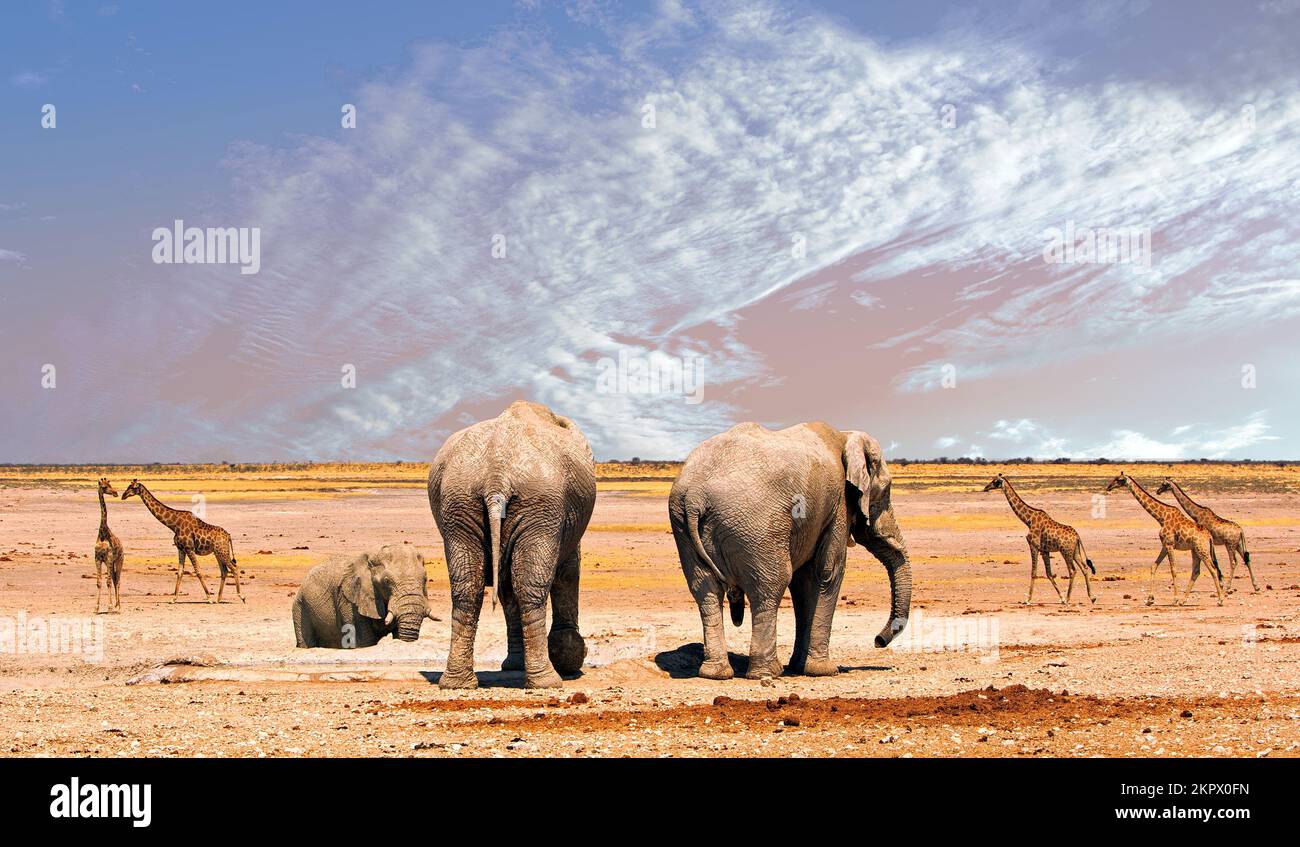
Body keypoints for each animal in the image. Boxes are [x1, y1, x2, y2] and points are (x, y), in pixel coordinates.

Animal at [428, 402, 595, 685]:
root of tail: (496, 476)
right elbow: (568, 572)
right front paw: (568, 660)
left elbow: (507, 588)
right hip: (540, 502)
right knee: (529, 588)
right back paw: (547, 682)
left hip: (459, 502)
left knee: (467, 588)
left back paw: (456, 683)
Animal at [670, 423, 915, 680]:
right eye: (885, 490)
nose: (878, 641)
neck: (845, 437)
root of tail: (695, 496)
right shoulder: (839, 504)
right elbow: (827, 573)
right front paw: (824, 671)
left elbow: (803, 582)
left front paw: (800, 667)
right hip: (756, 526)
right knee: (770, 586)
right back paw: (767, 672)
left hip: (683, 525)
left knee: (705, 590)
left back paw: (716, 673)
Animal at [982, 472, 1097, 605]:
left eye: (995, 481)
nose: (985, 488)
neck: (1028, 520)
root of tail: (1077, 536)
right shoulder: (1044, 550)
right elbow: (1049, 573)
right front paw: (1061, 598)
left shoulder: (1034, 545)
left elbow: (1034, 572)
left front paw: (1028, 599)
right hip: (1075, 551)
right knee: (1084, 568)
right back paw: (1092, 597)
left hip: (1066, 551)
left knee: (1073, 571)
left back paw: (1069, 599)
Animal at [1107, 472, 1216, 605]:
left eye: (1119, 479)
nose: (1109, 487)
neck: (1161, 517)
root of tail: (1209, 536)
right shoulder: (1164, 545)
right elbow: (1153, 566)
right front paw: (1150, 599)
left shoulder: (1169, 544)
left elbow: (1173, 569)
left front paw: (1175, 599)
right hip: (1195, 550)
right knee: (1196, 571)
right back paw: (1184, 600)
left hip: (1202, 550)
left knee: (1213, 569)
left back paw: (1220, 600)